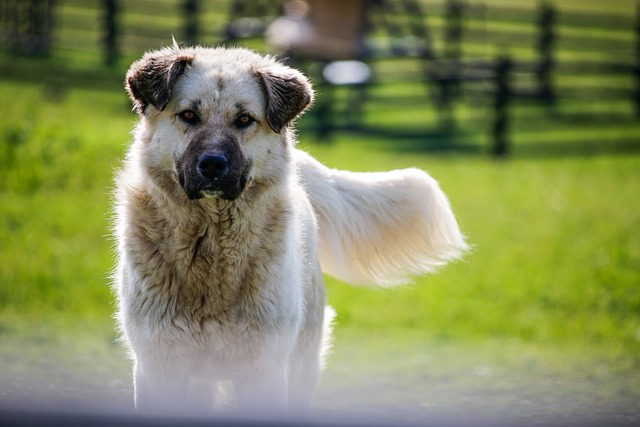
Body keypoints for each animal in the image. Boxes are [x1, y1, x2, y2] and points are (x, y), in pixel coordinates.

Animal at [112, 45, 468, 420]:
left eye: (244, 120)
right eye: (189, 115)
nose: (212, 165)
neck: (211, 254)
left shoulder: (264, 371)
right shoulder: (159, 369)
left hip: (300, 364)